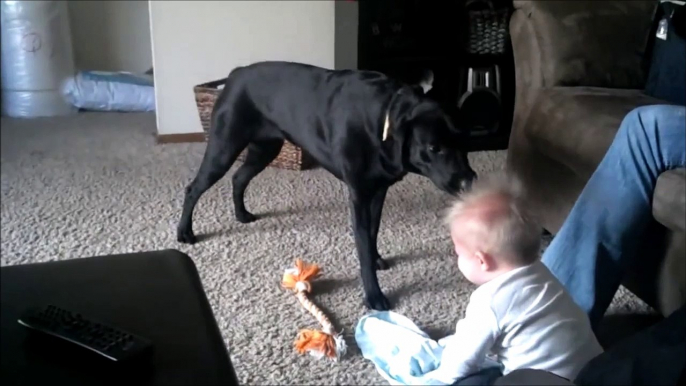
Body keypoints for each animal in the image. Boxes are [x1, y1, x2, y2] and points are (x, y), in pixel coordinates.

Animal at [179, 62, 478, 310]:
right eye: (433, 148)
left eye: (464, 142)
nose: (468, 181)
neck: (382, 117)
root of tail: (236, 73)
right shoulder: (359, 194)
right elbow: (362, 245)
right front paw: (374, 295)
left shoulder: (378, 190)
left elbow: (373, 232)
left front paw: (377, 258)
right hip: (223, 148)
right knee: (194, 188)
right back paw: (185, 232)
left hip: (265, 149)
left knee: (238, 178)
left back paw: (241, 214)